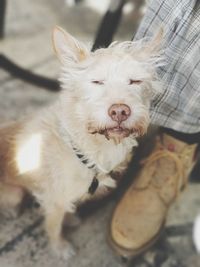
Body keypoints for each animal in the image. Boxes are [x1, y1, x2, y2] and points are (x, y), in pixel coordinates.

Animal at [0, 27, 162, 260]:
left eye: (134, 81)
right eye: (97, 82)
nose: (120, 111)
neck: (86, 147)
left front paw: (70, 219)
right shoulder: (54, 201)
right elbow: (53, 226)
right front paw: (60, 247)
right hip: (14, 193)